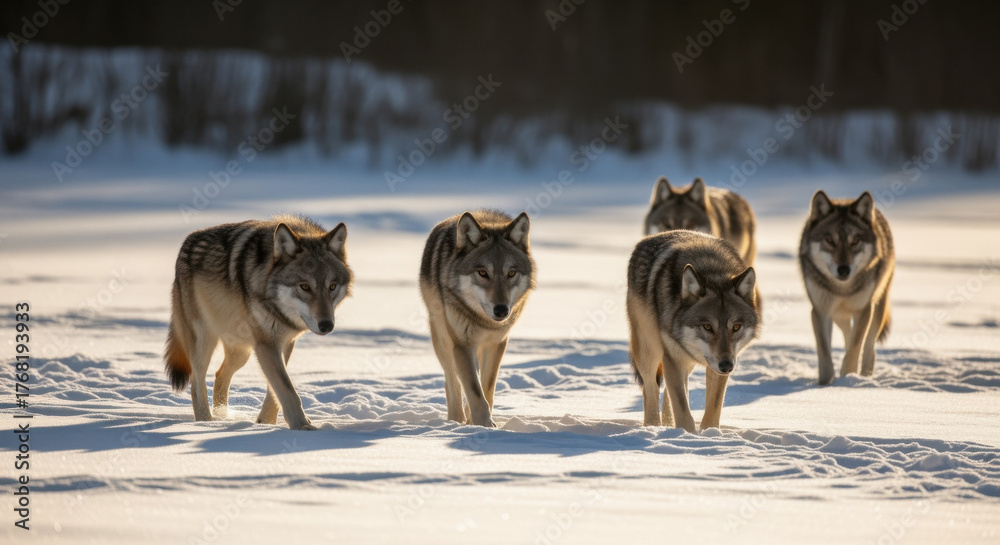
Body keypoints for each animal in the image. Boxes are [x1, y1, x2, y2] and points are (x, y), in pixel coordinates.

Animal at [164, 215, 352, 430]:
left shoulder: (283, 343)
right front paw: (302, 427)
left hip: (242, 352)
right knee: (197, 380)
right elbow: (287, 389)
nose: (327, 325)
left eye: (332, 286)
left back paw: (222, 417)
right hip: (204, 340)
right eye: (305, 287)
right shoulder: (266, 343)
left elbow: (274, 391)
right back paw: (206, 423)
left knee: (219, 376)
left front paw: (266, 423)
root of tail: (187, 242)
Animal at [419, 210, 536, 427]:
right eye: (483, 273)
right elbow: (474, 390)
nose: (501, 310)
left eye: (511, 273)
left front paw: (478, 423)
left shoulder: (497, 343)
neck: (485, 323)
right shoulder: (462, 344)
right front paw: (484, 426)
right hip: (442, 339)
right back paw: (455, 420)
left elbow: (486, 388)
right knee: (452, 383)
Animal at [627, 230, 760, 432]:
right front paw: (686, 434)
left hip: (686, 361)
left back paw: (667, 425)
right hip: (649, 352)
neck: (712, 270)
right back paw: (653, 427)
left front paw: (709, 434)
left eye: (736, 327)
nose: (727, 366)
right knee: (651, 389)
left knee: (668, 393)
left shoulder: (714, 366)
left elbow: (712, 409)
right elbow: (682, 408)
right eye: (707, 327)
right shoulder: (672, 357)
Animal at [800, 190, 894, 385]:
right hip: (839, 315)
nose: (843, 269)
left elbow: (856, 345)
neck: (842, 289)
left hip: (877, 308)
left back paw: (865, 375)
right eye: (829, 240)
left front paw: (848, 378)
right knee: (847, 335)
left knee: (868, 346)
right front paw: (825, 383)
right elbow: (824, 351)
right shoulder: (820, 311)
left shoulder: (864, 310)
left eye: (855, 241)